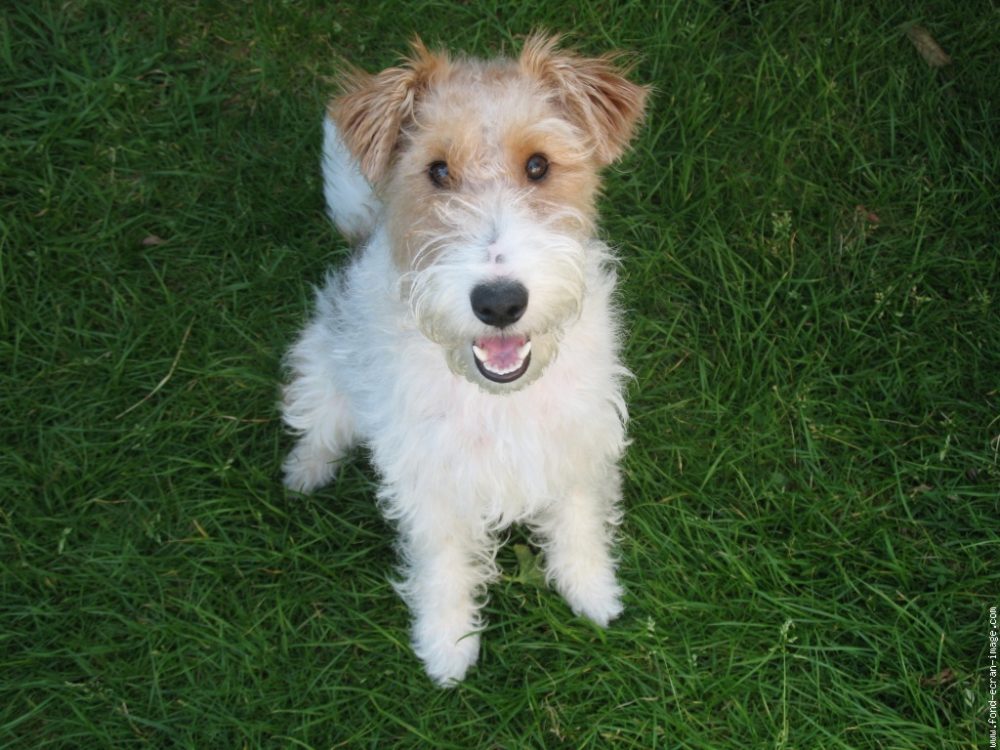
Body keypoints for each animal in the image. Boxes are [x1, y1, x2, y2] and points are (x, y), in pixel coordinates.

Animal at [282, 33, 648, 688]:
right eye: (436, 171)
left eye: (538, 165)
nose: (499, 302)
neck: (500, 398)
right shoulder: (429, 478)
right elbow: (442, 566)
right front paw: (447, 646)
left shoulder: (577, 443)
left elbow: (579, 523)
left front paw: (593, 592)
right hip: (326, 371)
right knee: (318, 425)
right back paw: (305, 471)